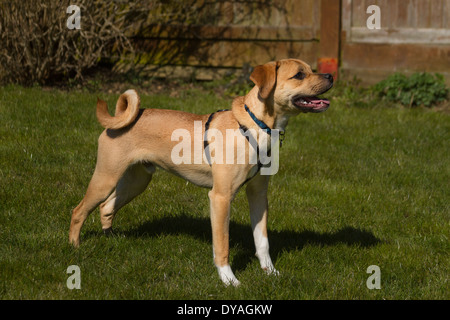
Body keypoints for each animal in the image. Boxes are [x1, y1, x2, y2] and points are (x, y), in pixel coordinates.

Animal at [68, 58, 332, 286]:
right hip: (106, 177)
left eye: (311, 69)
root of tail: (120, 118)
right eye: (299, 75)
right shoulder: (220, 197)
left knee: (106, 206)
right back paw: (74, 247)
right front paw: (229, 280)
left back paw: (110, 238)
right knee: (79, 210)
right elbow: (222, 245)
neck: (255, 125)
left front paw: (270, 272)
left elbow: (262, 241)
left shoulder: (258, 195)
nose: (330, 75)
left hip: (136, 181)